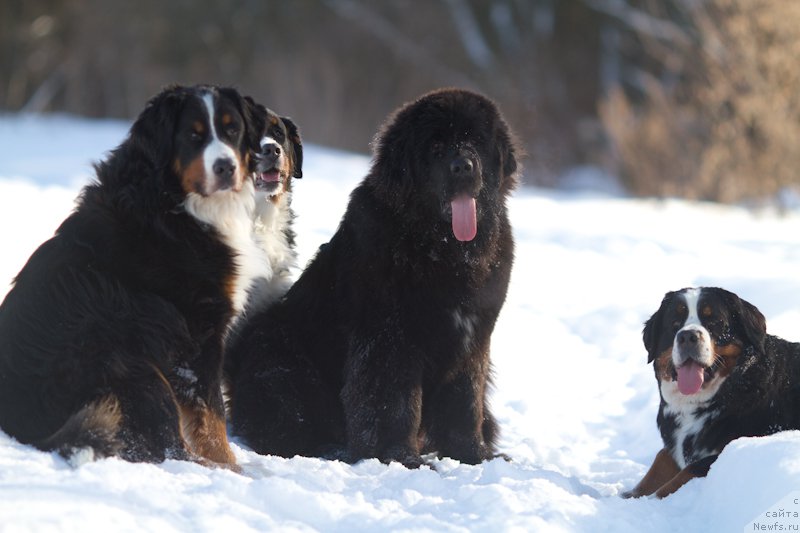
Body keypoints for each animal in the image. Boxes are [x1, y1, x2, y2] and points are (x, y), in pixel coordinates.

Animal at [0, 82, 272, 466]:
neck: (172, 201)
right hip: (128, 364)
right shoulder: (196, 331)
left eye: (232, 131)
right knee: (167, 448)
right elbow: (212, 417)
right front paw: (231, 468)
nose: (225, 167)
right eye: (193, 136)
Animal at [225, 87, 520, 466]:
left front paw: (473, 455)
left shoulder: (474, 340)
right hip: (282, 365)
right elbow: (394, 402)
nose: (463, 166)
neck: (445, 250)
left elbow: (465, 400)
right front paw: (399, 457)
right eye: (437, 148)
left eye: (476, 142)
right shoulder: (388, 338)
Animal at [624, 284, 800, 496]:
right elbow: (660, 461)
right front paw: (630, 495)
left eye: (714, 321)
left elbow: (684, 473)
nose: (687, 336)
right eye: (675, 322)